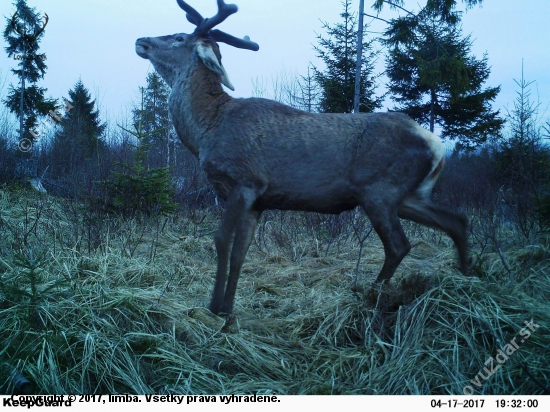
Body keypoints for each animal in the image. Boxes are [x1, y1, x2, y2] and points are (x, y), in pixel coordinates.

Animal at [136, 0, 468, 316]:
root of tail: (437, 144)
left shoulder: (244, 181)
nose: (142, 40)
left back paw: (372, 296)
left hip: (380, 191)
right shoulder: (258, 201)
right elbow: (241, 251)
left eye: (179, 37)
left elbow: (221, 241)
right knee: (457, 221)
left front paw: (214, 307)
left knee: (399, 245)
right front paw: (228, 309)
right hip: (410, 195)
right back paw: (466, 278)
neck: (207, 128)